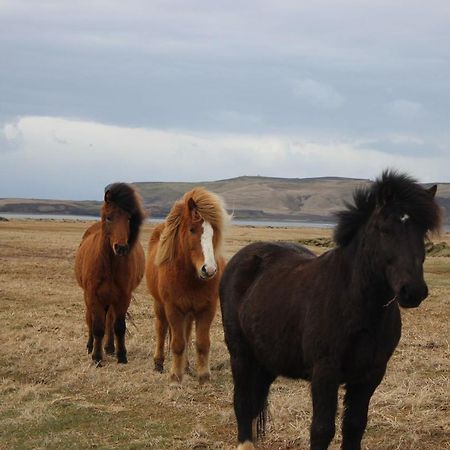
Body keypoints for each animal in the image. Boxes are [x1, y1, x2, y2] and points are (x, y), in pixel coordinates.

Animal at [74, 185, 144, 364]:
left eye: (129, 218)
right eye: (109, 217)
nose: (121, 248)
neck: (110, 265)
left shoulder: (123, 297)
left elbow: (118, 327)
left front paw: (121, 355)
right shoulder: (93, 296)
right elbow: (97, 327)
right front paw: (97, 357)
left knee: (110, 320)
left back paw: (110, 347)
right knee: (90, 320)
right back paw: (91, 346)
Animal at [147, 186, 229, 384]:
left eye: (214, 232)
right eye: (192, 229)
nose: (209, 270)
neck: (189, 278)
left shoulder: (206, 308)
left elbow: (202, 343)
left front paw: (203, 376)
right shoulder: (173, 308)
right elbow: (177, 343)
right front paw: (175, 377)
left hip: (190, 312)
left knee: (187, 333)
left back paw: (186, 366)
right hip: (160, 306)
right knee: (161, 329)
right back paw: (159, 363)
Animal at [220, 171, 442, 448]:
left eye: (423, 231)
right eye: (384, 229)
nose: (413, 291)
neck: (357, 305)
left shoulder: (370, 375)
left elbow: (355, 426)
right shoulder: (325, 372)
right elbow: (322, 429)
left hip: (267, 357)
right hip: (240, 354)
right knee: (242, 403)